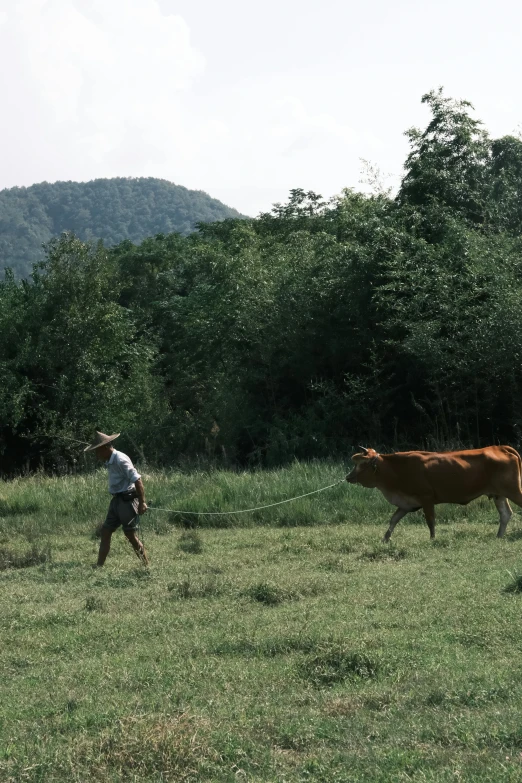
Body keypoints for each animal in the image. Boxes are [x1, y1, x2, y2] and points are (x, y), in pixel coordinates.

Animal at [344, 444, 520, 544]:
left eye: (362, 463)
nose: (348, 477)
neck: (397, 469)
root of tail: (499, 447)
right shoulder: (406, 504)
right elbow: (393, 520)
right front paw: (385, 539)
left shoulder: (426, 498)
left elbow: (430, 521)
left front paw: (432, 539)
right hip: (498, 494)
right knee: (505, 514)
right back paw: (499, 536)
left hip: (513, 491)